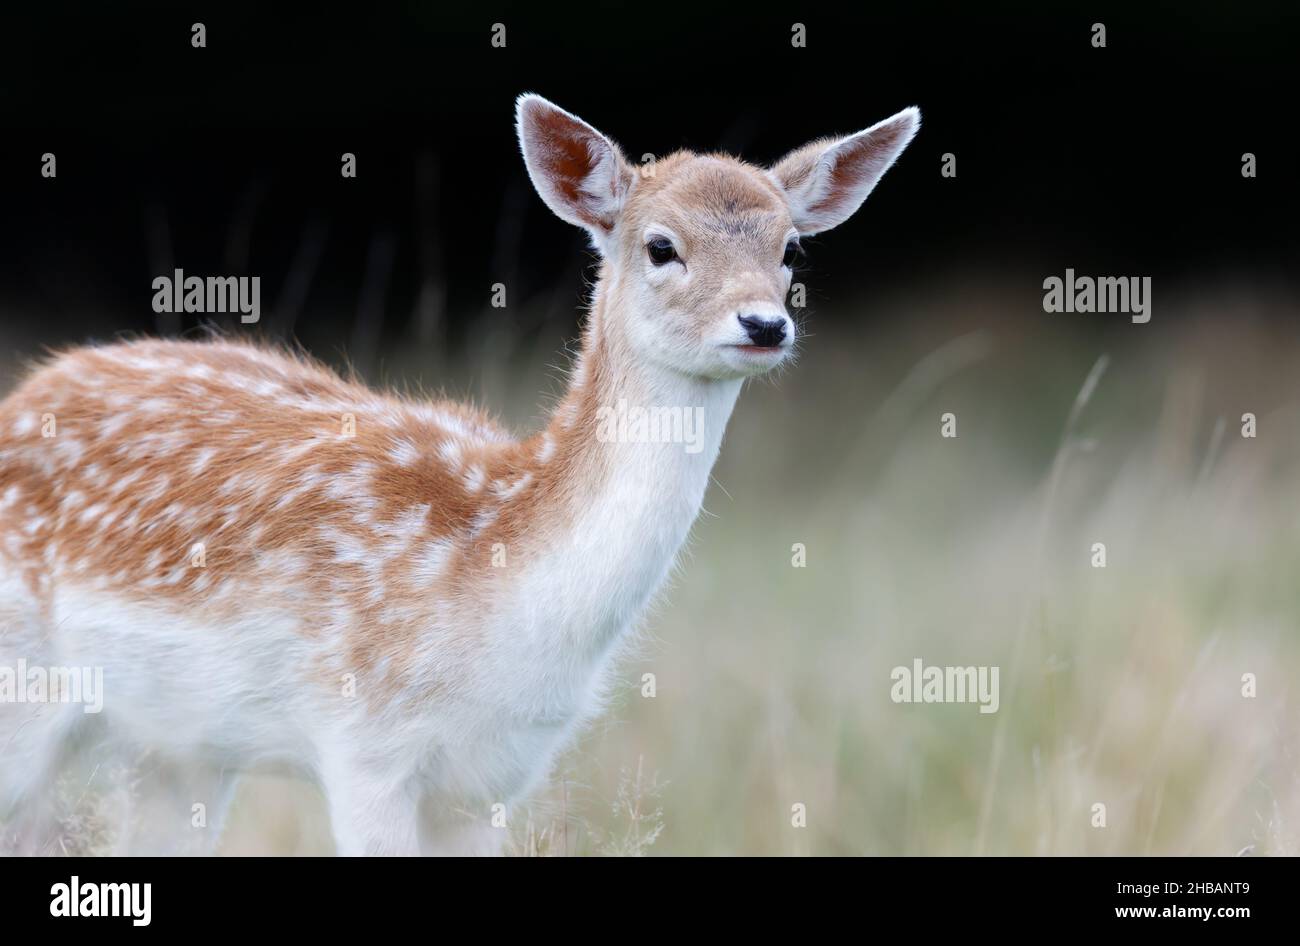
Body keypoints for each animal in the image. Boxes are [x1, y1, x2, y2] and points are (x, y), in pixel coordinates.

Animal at [0, 94, 918, 855]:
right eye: (662, 246)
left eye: (790, 247)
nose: (763, 324)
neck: (496, 586)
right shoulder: (363, 742)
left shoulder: (494, 778)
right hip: (25, 696)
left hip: (176, 749)